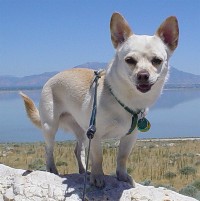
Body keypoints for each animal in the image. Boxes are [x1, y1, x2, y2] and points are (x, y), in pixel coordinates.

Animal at [19, 12, 178, 188]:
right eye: (130, 60)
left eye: (157, 61)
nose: (143, 75)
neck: (126, 99)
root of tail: (51, 78)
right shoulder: (95, 134)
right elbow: (98, 157)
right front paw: (97, 176)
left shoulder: (129, 137)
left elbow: (122, 157)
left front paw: (122, 175)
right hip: (50, 126)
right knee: (49, 149)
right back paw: (52, 169)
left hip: (82, 130)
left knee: (78, 149)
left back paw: (83, 171)